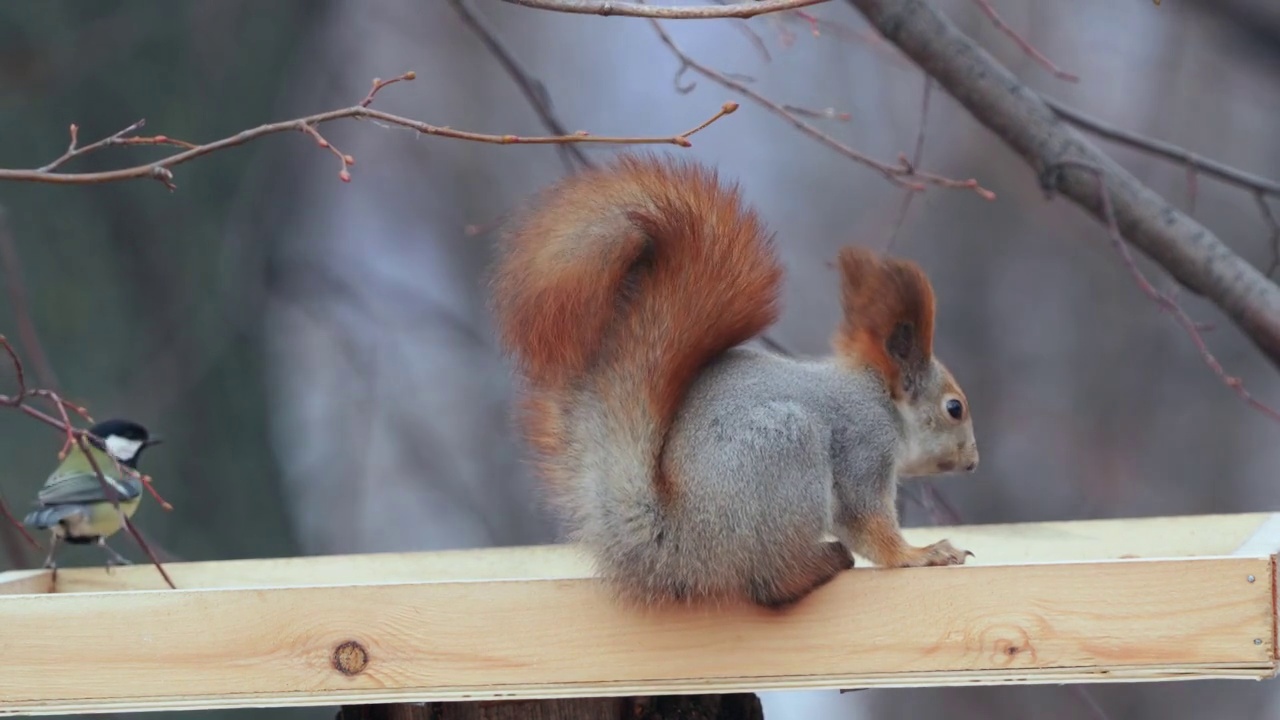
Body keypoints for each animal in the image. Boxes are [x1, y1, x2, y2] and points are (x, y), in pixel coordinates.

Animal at [488, 154, 977, 607]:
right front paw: (922, 554)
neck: (881, 399)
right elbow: (866, 522)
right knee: (770, 582)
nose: (973, 462)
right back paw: (819, 564)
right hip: (785, 448)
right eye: (954, 408)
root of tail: (675, 548)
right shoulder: (864, 443)